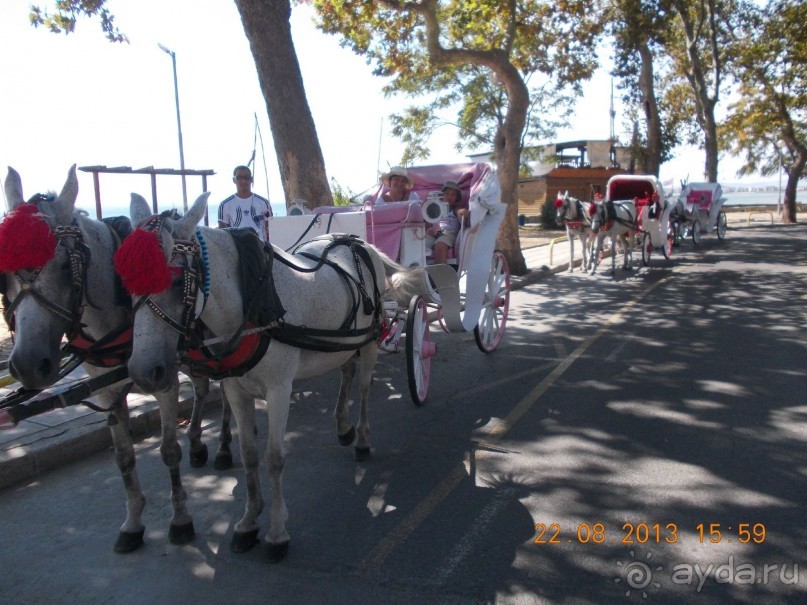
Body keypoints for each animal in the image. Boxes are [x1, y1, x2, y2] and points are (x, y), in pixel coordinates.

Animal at [0, 166, 215, 552]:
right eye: (6, 272)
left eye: (64, 266)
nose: (27, 365)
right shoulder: (107, 390)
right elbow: (123, 457)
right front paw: (132, 522)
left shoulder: (163, 381)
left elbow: (167, 450)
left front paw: (180, 519)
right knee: (204, 386)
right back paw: (197, 442)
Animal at [123, 191, 420, 560]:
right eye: (126, 281)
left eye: (177, 280)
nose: (144, 372)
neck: (252, 302)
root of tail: (355, 240)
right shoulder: (235, 389)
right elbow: (250, 456)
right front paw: (249, 522)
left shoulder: (279, 389)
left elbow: (275, 459)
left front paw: (277, 533)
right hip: (340, 342)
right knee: (346, 372)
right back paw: (342, 425)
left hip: (369, 342)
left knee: (364, 387)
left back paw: (362, 439)